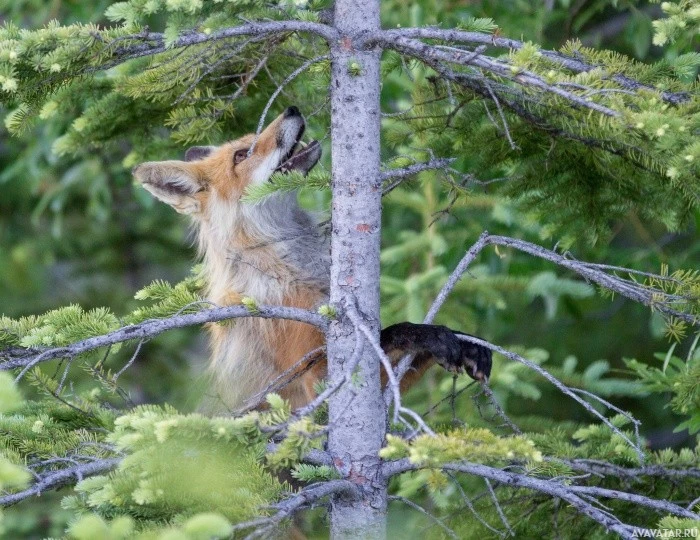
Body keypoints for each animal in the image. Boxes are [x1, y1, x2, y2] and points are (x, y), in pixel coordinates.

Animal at [133, 104, 492, 410]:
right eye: (241, 155)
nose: (291, 109)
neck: (289, 271)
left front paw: (471, 345)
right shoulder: (315, 382)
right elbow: (390, 334)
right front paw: (430, 335)